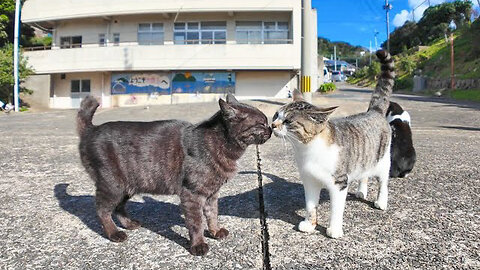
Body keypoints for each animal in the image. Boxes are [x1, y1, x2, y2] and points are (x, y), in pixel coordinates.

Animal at [77, 94, 272, 255]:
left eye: (266, 122)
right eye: (261, 123)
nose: (270, 128)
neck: (219, 143)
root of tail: (91, 130)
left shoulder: (211, 194)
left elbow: (212, 215)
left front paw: (215, 231)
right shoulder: (192, 194)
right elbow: (196, 223)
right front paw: (198, 245)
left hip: (127, 187)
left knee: (118, 207)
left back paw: (129, 224)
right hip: (113, 185)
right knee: (102, 210)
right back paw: (114, 233)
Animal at [272, 50, 396, 238]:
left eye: (288, 121)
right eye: (276, 115)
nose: (272, 125)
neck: (308, 149)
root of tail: (374, 111)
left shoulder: (339, 183)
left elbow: (336, 209)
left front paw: (334, 229)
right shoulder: (309, 181)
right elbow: (310, 206)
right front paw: (309, 225)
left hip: (382, 160)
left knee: (383, 182)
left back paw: (381, 202)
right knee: (364, 174)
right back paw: (361, 191)